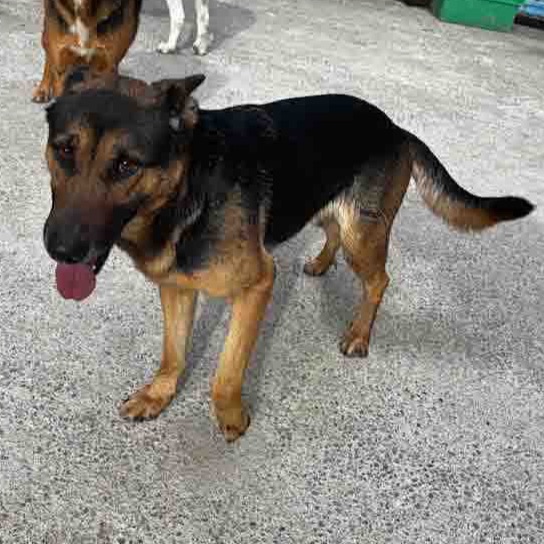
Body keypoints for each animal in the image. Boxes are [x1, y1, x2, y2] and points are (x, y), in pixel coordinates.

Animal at [42, 67, 534, 441]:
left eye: (126, 165)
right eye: (64, 150)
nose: (60, 249)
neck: (188, 188)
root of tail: (396, 128)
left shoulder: (258, 285)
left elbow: (225, 375)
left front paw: (232, 418)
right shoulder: (176, 288)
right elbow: (173, 354)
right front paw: (157, 395)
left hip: (363, 237)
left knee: (379, 280)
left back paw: (359, 334)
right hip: (329, 212)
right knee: (330, 230)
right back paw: (320, 262)